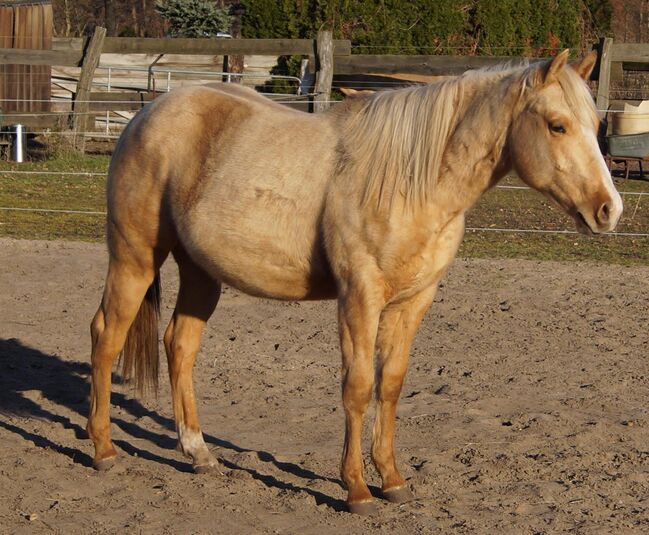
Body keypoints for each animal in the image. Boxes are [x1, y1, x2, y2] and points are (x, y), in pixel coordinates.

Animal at [87, 51, 624, 516]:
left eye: (596, 126)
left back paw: (198, 453)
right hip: (135, 258)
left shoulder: (412, 302)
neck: (412, 180)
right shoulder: (359, 298)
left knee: (180, 345)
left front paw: (393, 480)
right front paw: (357, 489)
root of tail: (145, 114)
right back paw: (103, 449)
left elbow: (391, 386)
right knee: (106, 336)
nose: (608, 210)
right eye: (557, 125)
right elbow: (359, 386)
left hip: (201, 273)